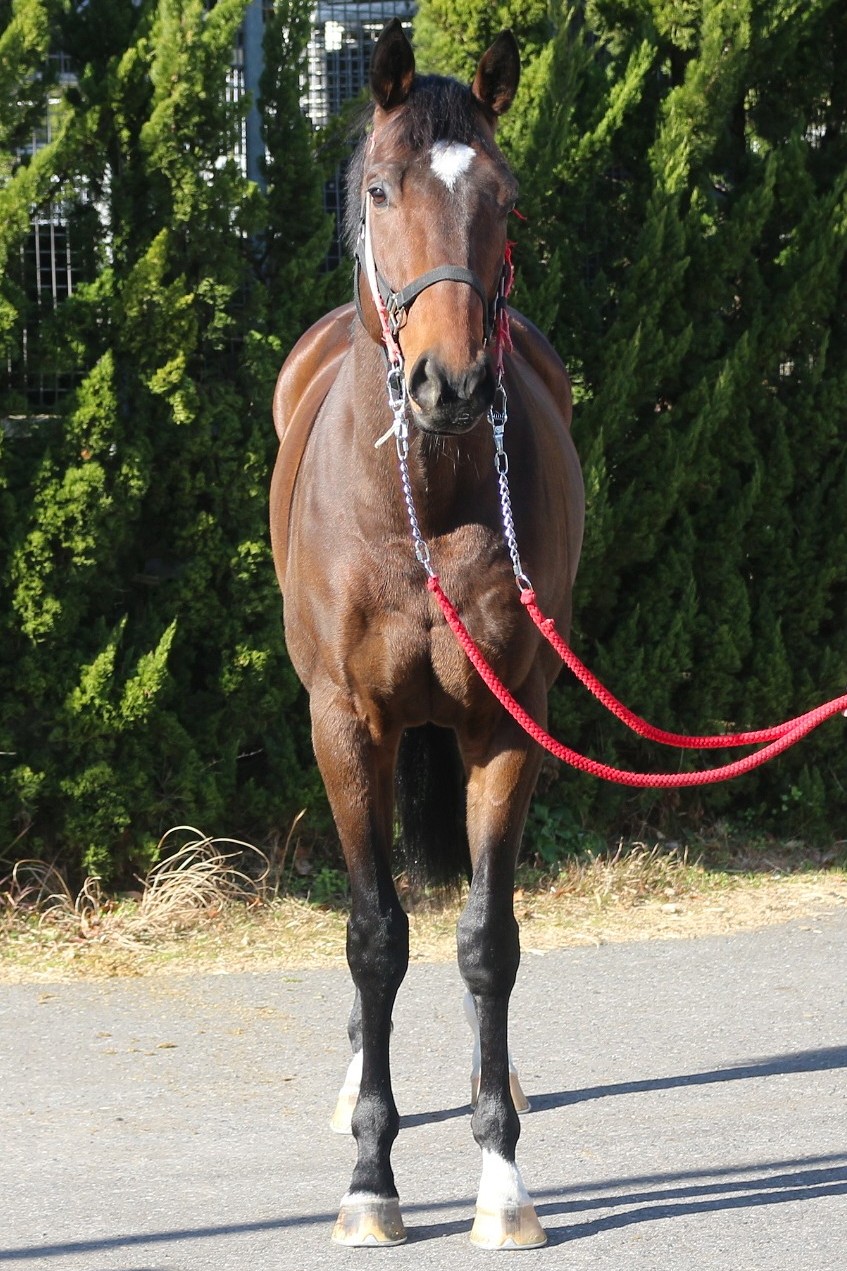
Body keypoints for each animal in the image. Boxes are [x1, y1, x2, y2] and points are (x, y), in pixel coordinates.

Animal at [270, 19, 584, 1249]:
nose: (450, 385)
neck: (429, 497)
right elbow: (374, 935)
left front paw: (501, 1178)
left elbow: (484, 941)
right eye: (379, 187)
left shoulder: (506, 726)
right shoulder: (346, 724)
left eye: (505, 197)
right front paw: (371, 1179)